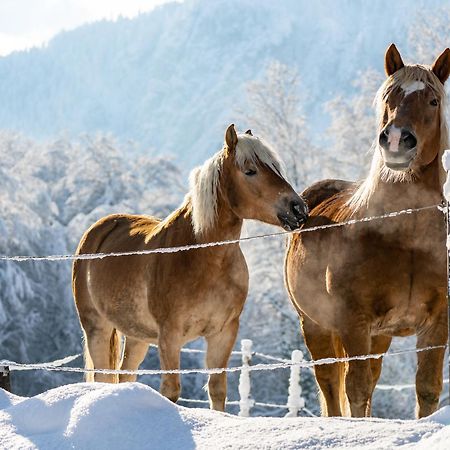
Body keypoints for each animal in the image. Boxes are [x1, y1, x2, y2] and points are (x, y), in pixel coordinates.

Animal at [74, 124, 308, 412]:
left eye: (275, 167)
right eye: (250, 171)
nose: (298, 208)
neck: (204, 259)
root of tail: (97, 231)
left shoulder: (223, 333)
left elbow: (217, 390)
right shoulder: (170, 336)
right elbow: (171, 390)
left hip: (137, 336)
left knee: (125, 374)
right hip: (96, 327)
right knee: (103, 377)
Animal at [284, 45, 450, 418]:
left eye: (433, 101)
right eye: (389, 96)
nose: (396, 140)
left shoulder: (437, 323)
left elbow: (427, 390)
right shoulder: (353, 323)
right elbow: (355, 390)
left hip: (380, 335)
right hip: (315, 325)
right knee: (331, 384)